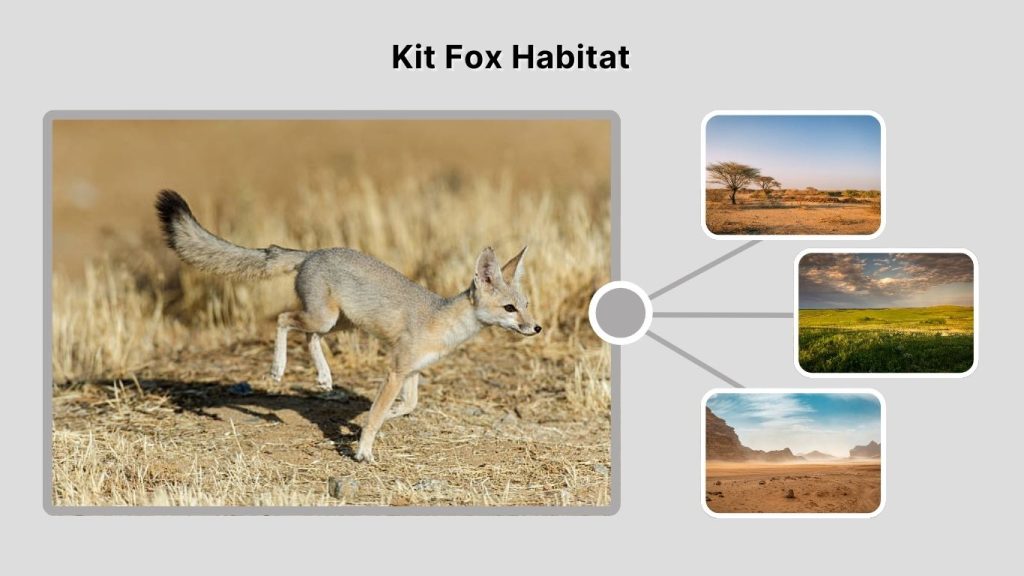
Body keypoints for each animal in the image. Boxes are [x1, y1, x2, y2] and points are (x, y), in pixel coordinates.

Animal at [155, 190, 541, 463]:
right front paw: (363, 450)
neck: (443, 319)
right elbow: (377, 415)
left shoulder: (412, 370)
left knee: (309, 336)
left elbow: (408, 405)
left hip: (338, 323)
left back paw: (324, 377)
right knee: (283, 320)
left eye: (526, 306)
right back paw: (278, 369)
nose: (536, 328)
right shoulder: (396, 369)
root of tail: (313, 252)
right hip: (325, 317)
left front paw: (387, 416)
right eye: (509, 309)